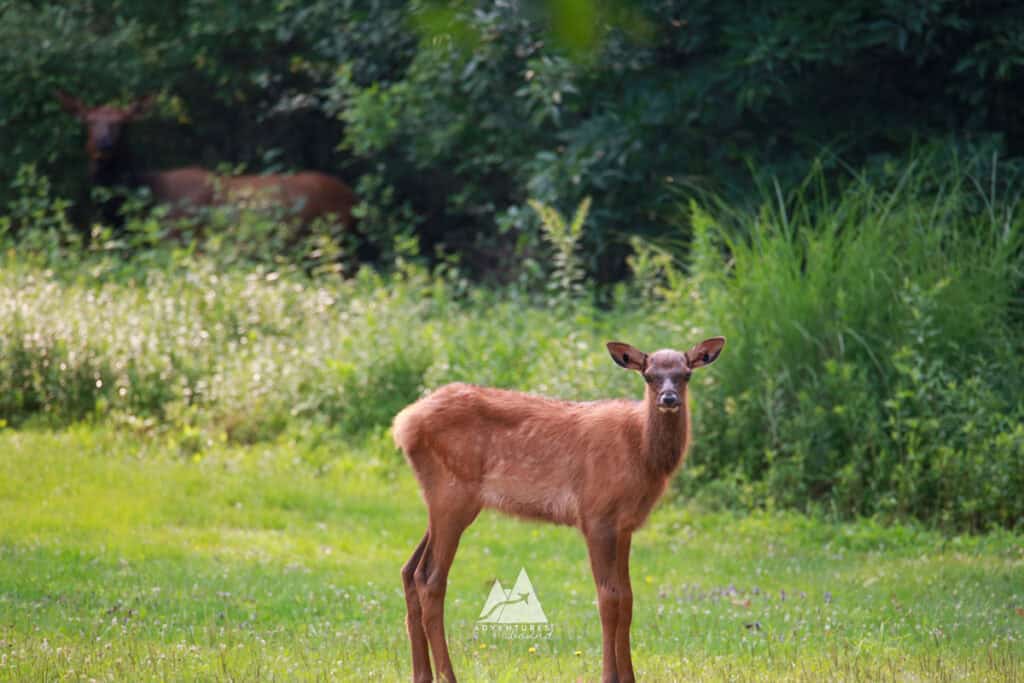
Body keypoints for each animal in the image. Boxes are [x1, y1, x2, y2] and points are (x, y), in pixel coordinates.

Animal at [392, 336, 726, 683]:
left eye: (686, 374)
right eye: (649, 375)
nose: (669, 398)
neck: (642, 454)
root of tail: (403, 423)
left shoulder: (624, 525)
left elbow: (628, 598)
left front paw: (629, 677)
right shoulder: (595, 514)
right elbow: (609, 598)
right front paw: (609, 676)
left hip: (444, 501)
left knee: (409, 570)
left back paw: (421, 674)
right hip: (453, 494)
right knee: (430, 579)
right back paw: (448, 675)